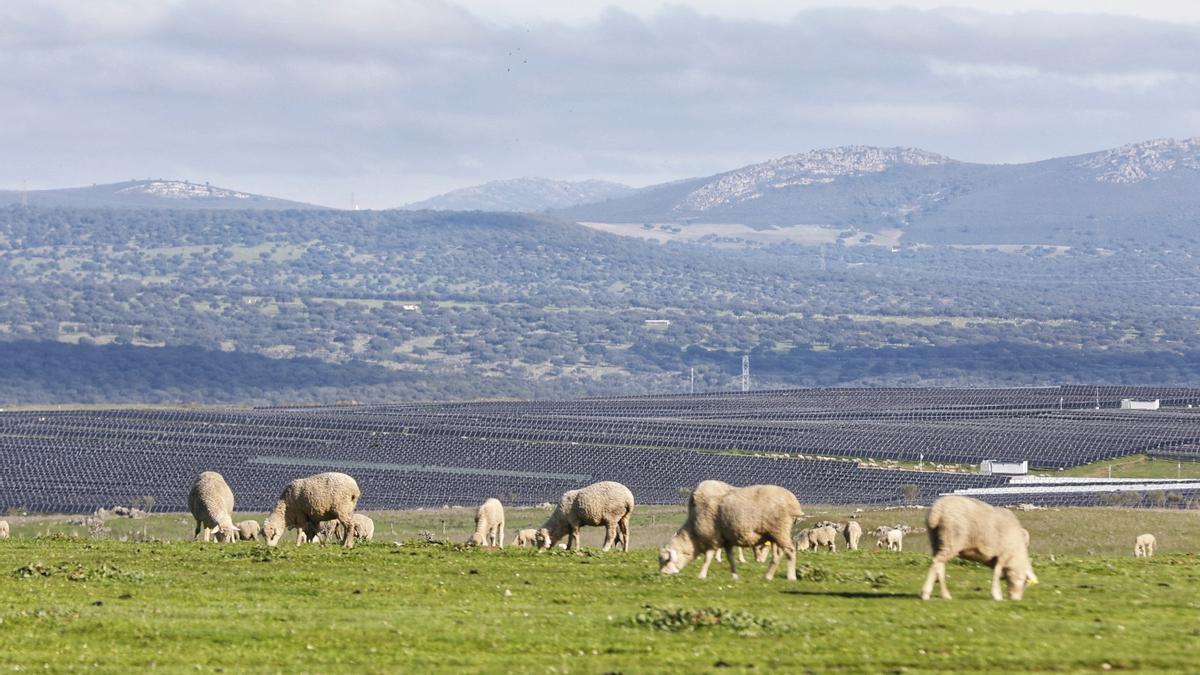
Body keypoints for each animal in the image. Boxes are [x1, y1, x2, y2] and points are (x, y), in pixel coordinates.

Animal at [657, 480, 806, 581]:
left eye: (664, 560)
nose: (663, 574)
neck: (693, 534)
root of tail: (793, 502)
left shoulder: (713, 538)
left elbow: (708, 558)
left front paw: (701, 575)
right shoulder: (726, 540)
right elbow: (730, 558)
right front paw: (734, 575)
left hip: (780, 530)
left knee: (790, 551)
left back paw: (791, 577)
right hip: (774, 534)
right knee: (778, 555)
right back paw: (768, 576)